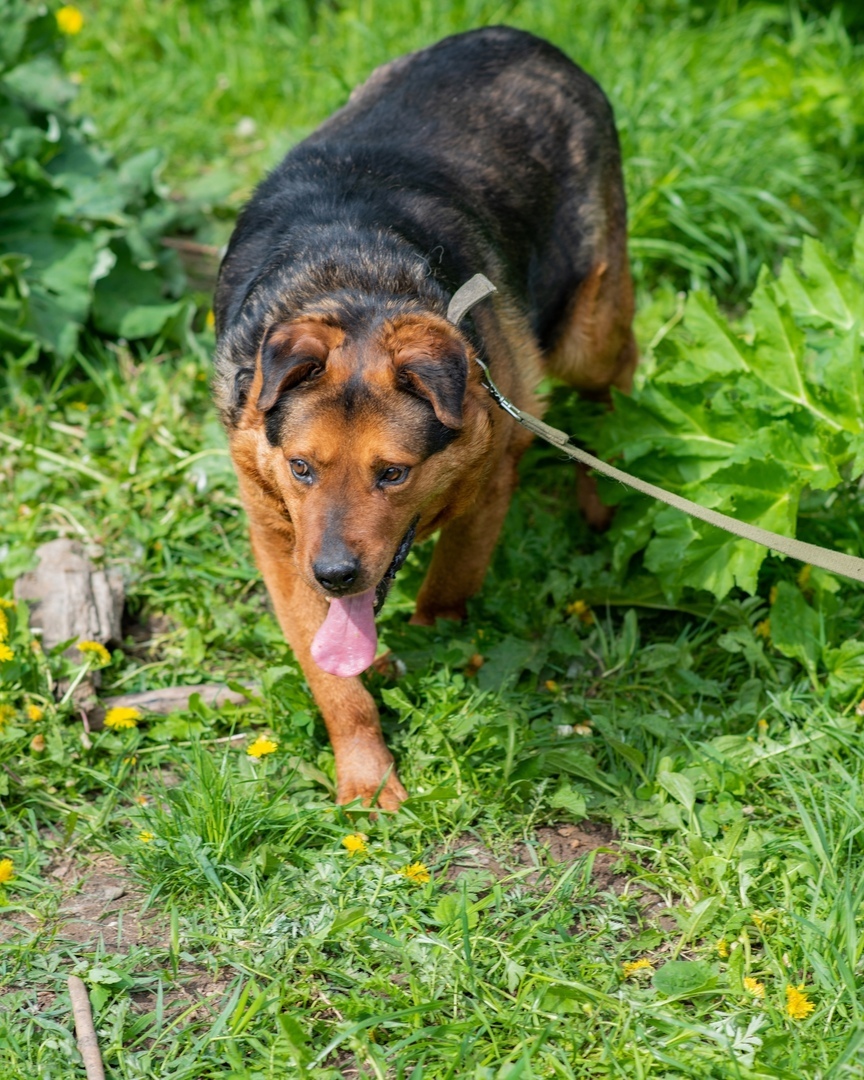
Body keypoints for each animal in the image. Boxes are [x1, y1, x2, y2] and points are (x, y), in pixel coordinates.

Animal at [213, 25, 639, 807]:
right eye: (301, 468)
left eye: (393, 474)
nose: (335, 575)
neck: (357, 290)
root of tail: (518, 35)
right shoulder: (278, 540)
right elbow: (333, 679)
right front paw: (366, 778)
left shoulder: (492, 470)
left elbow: (449, 586)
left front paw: (435, 639)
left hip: (583, 329)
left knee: (618, 368)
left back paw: (605, 481)